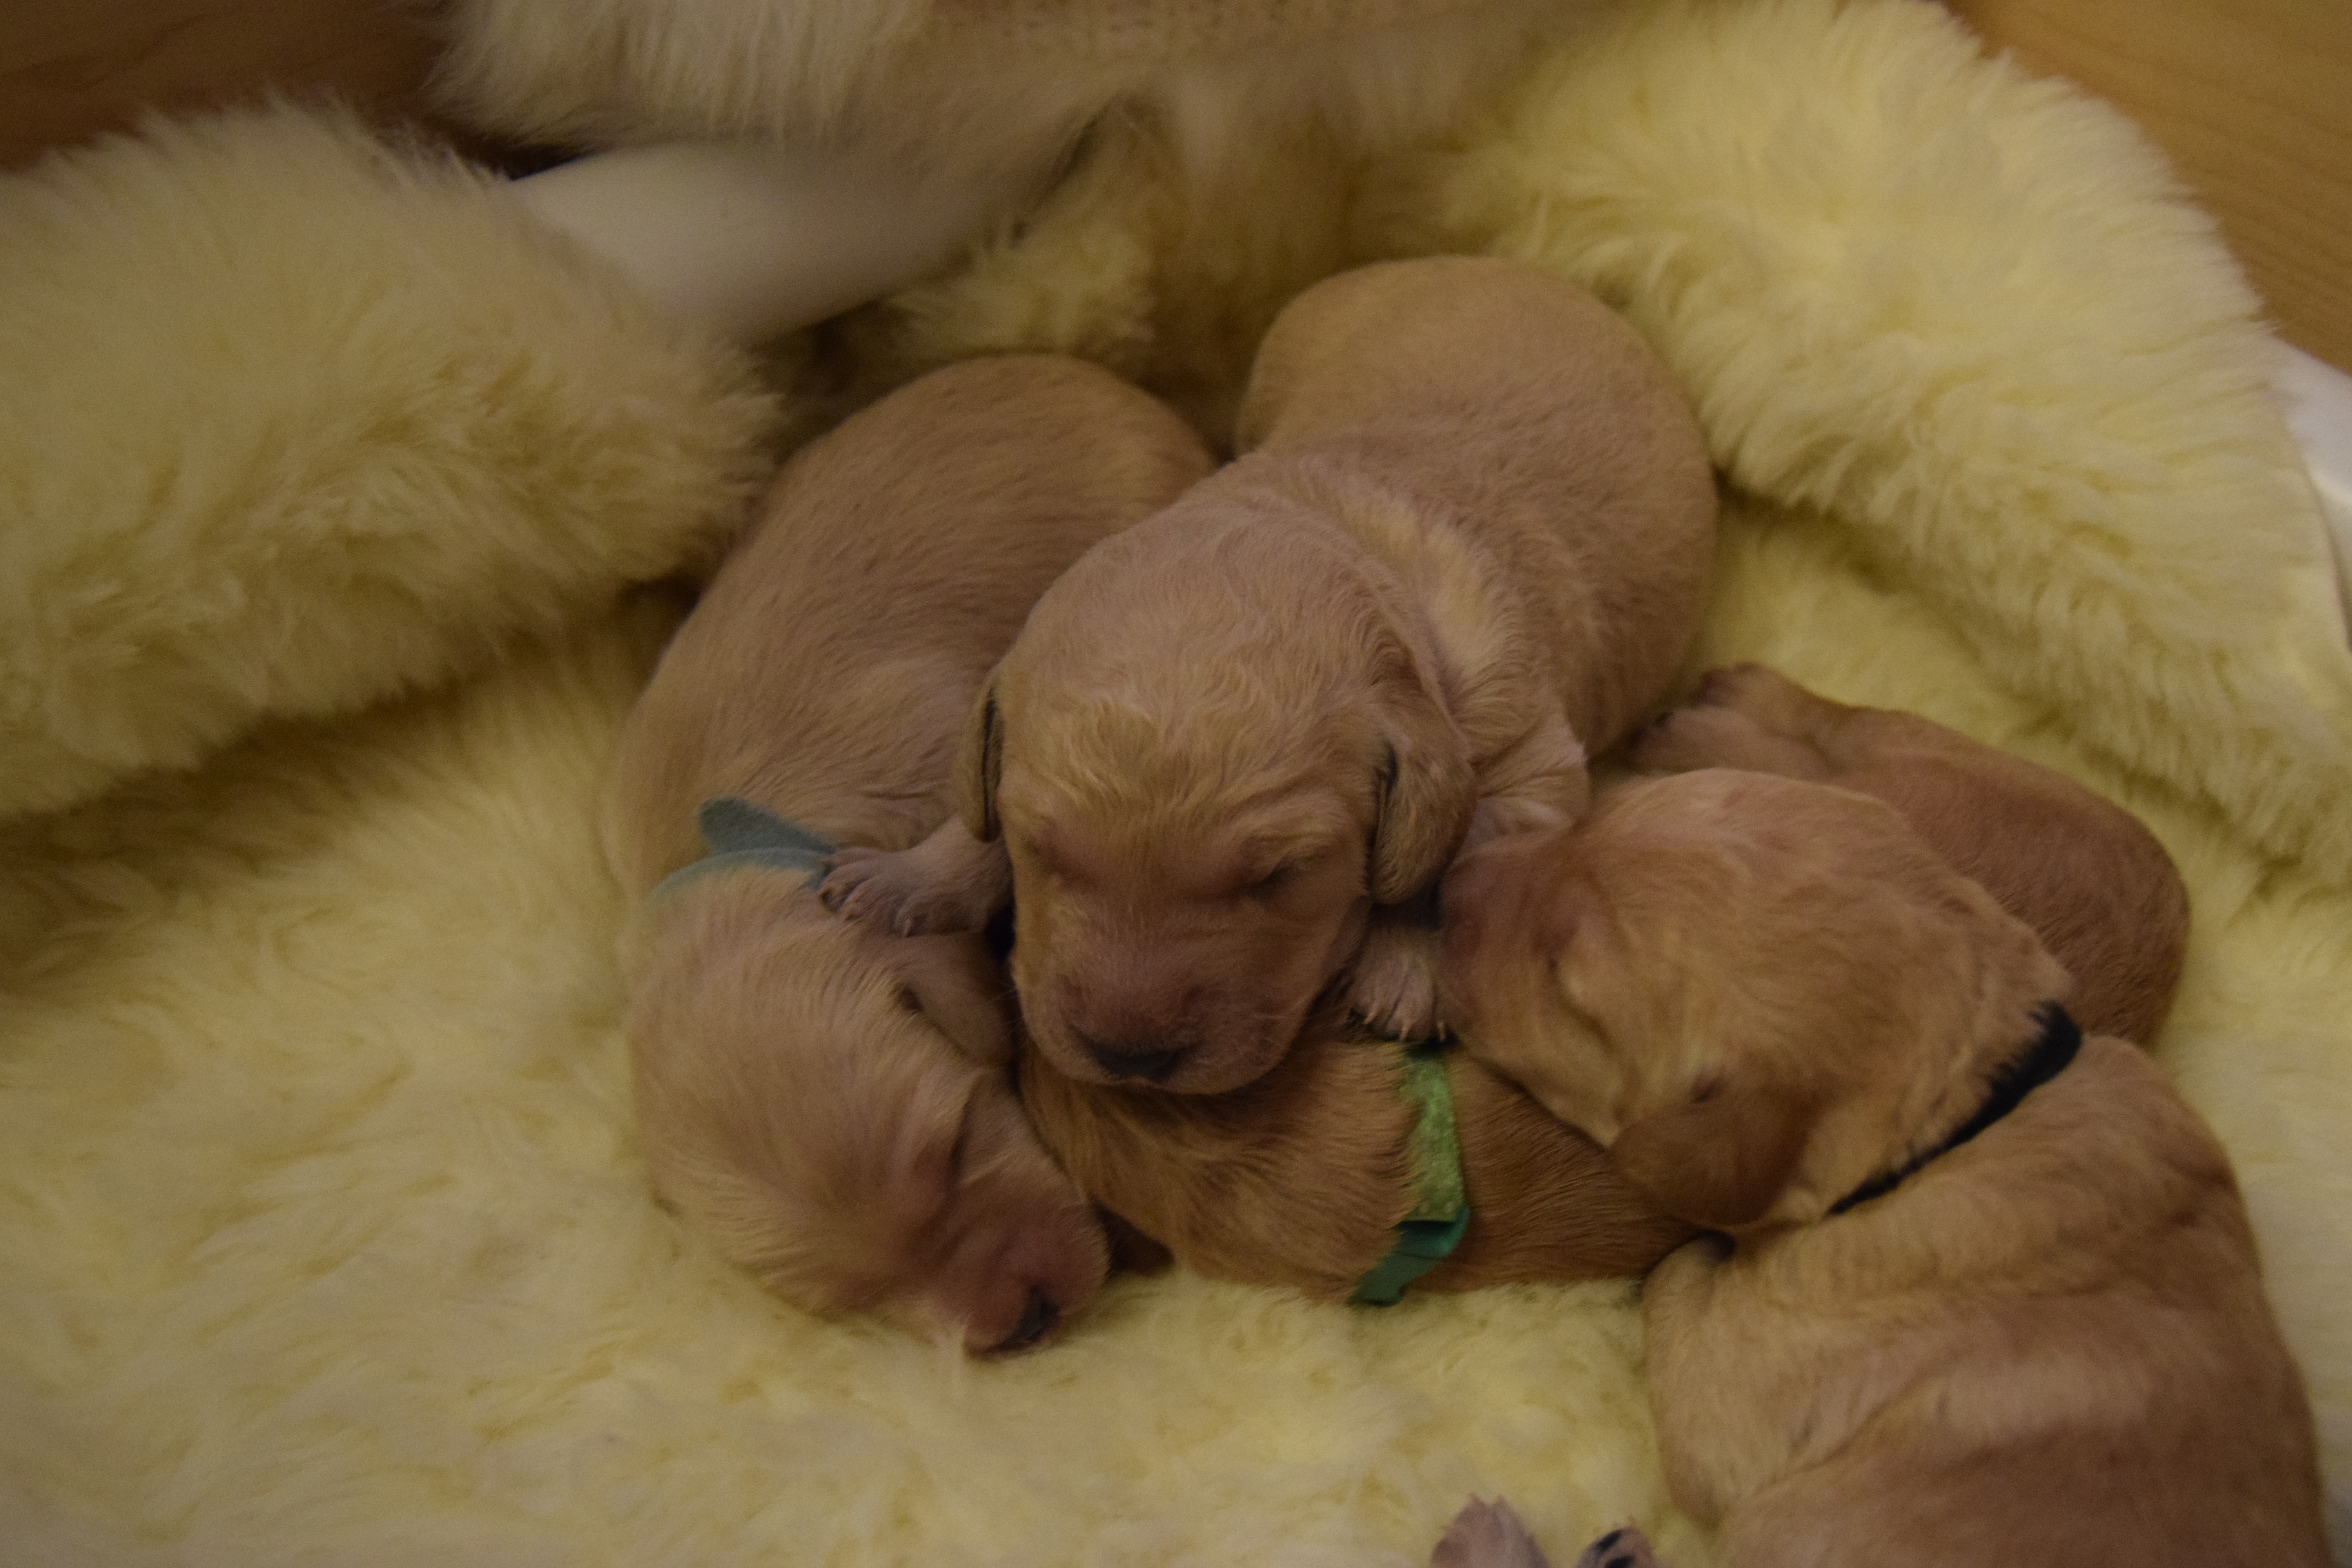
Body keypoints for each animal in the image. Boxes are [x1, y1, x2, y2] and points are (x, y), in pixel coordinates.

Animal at [828, 257, 1712, 1091]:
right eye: (1041, 848)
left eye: (1282, 875)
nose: (1130, 1057)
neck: (1333, 526)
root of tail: (1463, 260)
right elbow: (978, 809)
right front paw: (910, 875)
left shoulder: (1534, 760)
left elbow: (1457, 853)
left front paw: (1405, 970)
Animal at [1439, 776, 2324, 1568]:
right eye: (1592, 814)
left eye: (1561, 978)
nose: (1439, 890)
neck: (1970, 1113)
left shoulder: (1725, 1393)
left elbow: (1677, 1276)